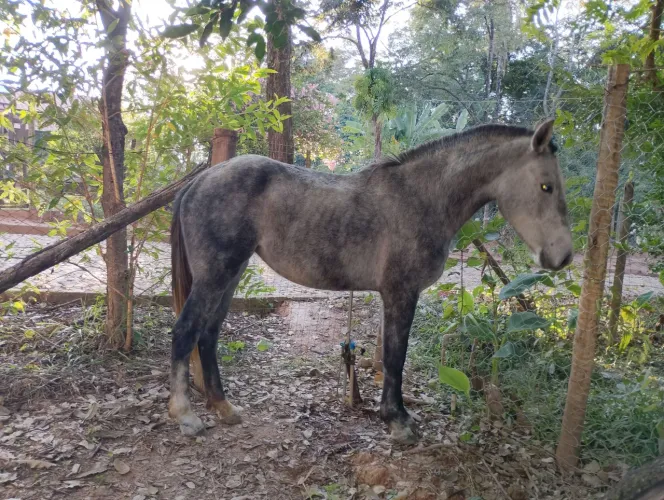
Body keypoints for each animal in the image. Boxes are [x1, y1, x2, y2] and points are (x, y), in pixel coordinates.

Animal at [168, 119, 573, 444]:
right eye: (546, 187)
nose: (563, 256)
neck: (421, 198)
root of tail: (201, 179)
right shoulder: (400, 293)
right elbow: (395, 357)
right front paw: (398, 421)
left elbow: (390, 355)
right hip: (216, 274)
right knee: (186, 331)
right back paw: (186, 415)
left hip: (230, 274)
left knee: (209, 333)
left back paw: (223, 407)